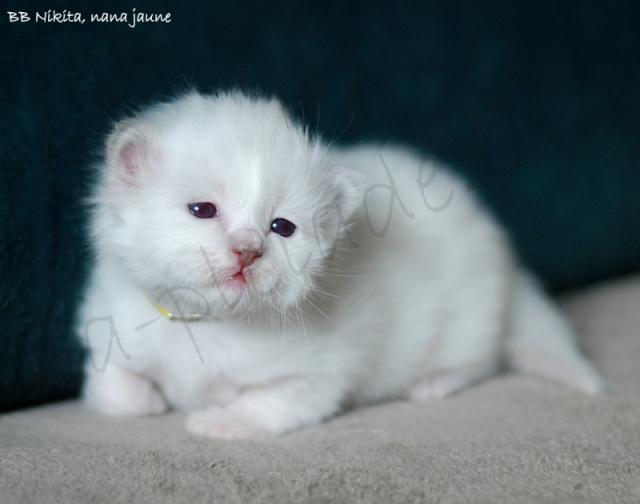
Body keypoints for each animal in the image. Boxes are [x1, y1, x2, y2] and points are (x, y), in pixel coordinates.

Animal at [77, 90, 604, 438]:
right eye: (202, 210)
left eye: (281, 227)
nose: (247, 250)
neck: (207, 323)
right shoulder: (110, 323)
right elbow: (112, 388)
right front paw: (148, 400)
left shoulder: (318, 375)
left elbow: (266, 402)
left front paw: (220, 420)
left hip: (468, 320)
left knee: (477, 361)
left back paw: (432, 383)